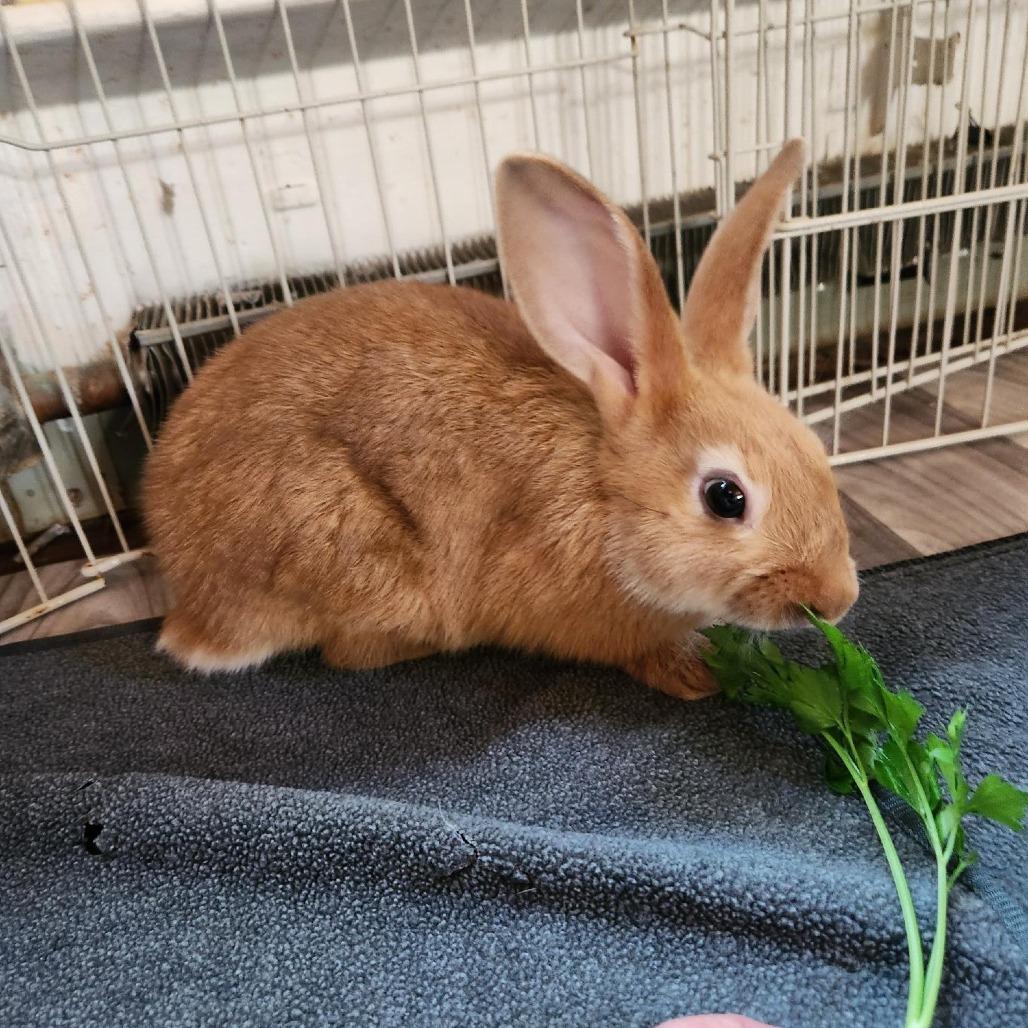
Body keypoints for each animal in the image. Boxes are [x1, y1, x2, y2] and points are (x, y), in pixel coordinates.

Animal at [143, 138, 858, 700]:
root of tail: (195, 605)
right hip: (355, 553)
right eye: (725, 497)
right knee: (351, 651)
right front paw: (695, 673)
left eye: (814, 448)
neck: (605, 496)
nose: (840, 598)